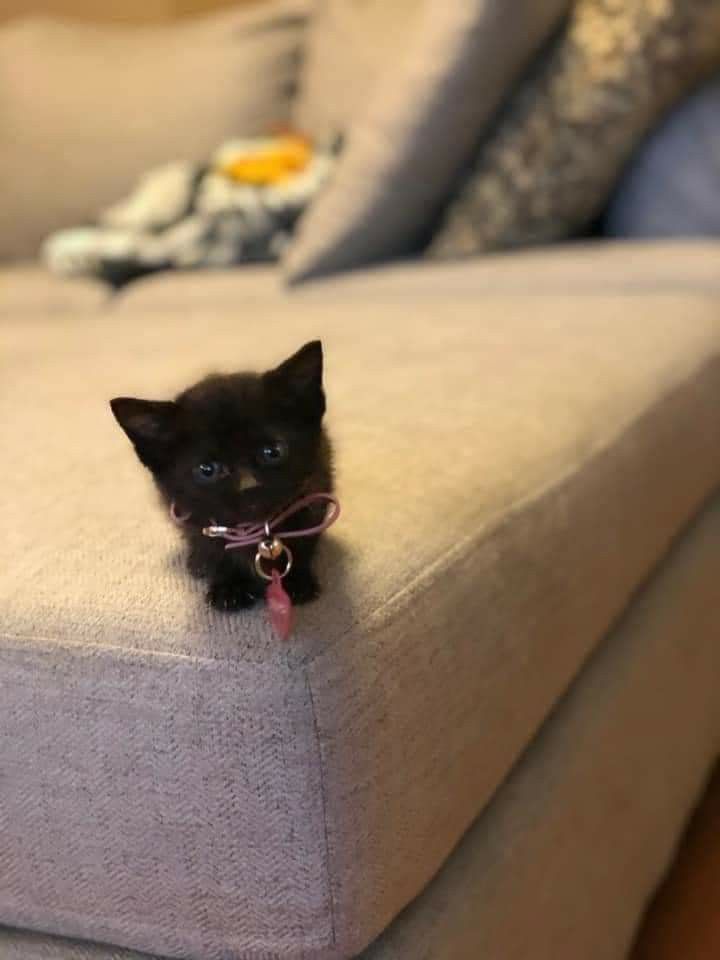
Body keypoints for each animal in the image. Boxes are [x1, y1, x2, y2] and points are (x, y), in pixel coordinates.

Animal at [110, 340, 334, 608]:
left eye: (273, 452)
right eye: (207, 470)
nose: (248, 486)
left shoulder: (315, 491)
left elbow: (305, 540)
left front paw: (295, 579)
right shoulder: (192, 516)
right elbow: (211, 547)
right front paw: (230, 585)